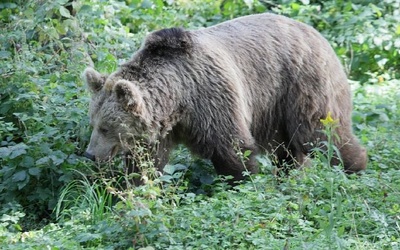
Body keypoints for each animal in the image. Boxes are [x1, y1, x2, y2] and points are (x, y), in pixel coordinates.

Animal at [83, 12, 368, 181]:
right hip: (276, 107)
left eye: (106, 127)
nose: (89, 155)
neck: (178, 99)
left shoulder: (211, 99)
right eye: (93, 123)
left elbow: (233, 148)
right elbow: (146, 163)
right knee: (289, 149)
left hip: (302, 84)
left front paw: (241, 182)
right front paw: (137, 188)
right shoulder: (162, 127)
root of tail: (318, 34)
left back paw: (356, 168)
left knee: (321, 133)